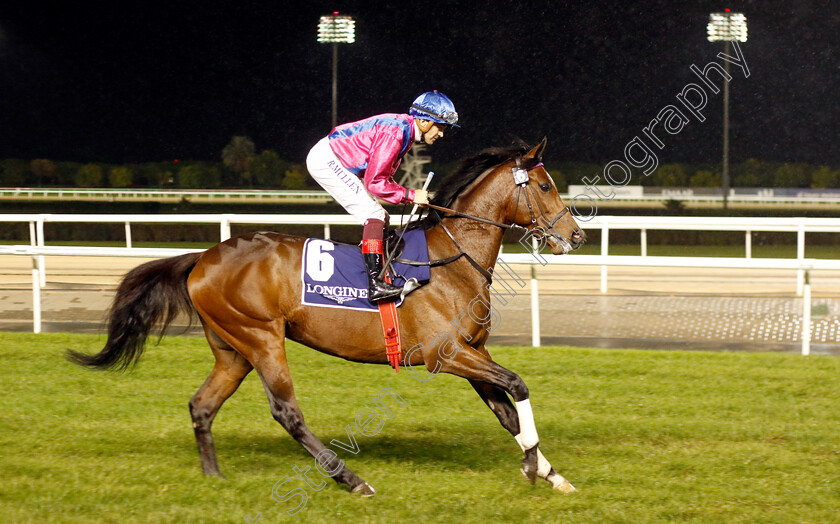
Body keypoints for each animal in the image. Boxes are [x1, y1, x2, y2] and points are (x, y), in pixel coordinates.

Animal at [67, 138, 584, 496]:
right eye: (544, 185)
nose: (577, 235)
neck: (450, 261)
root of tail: (202, 258)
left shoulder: (471, 350)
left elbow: (506, 411)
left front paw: (550, 473)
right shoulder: (445, 354)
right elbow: (517, 386)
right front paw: (534, 465)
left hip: (233, 350)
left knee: (202, 405)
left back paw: (213, 476)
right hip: (261, 338)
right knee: (286, 411)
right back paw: (351, 479)